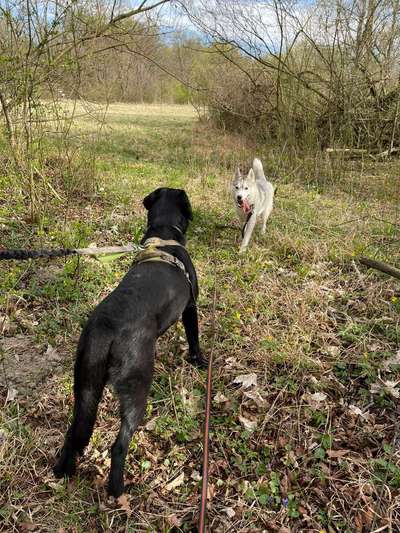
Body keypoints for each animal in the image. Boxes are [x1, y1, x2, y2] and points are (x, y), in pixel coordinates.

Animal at [53, 187, 206, 494]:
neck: (164, 233)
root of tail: (106, 328)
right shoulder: (190, 307)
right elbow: (194, 338)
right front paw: (199, 361)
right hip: (136, 387)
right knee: (119, 445)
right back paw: (117, 489)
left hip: (86, 386)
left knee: (74, 432)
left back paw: (63, 471)